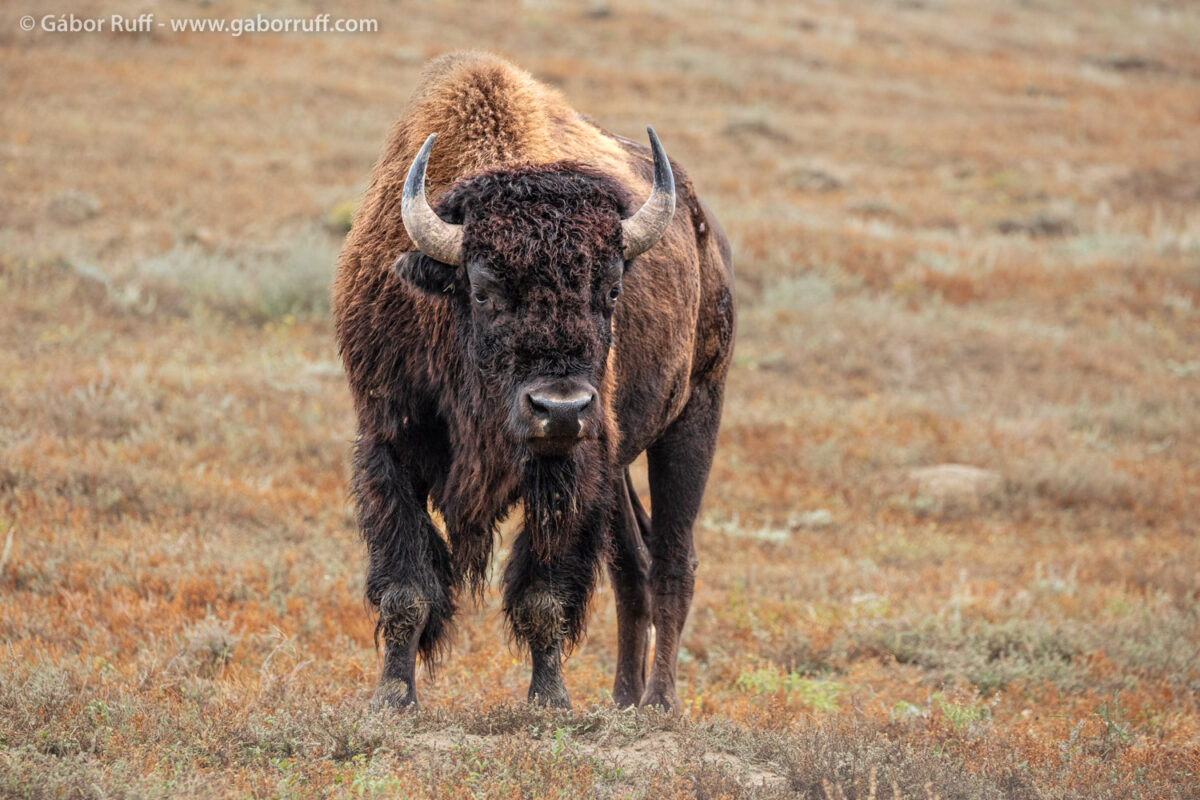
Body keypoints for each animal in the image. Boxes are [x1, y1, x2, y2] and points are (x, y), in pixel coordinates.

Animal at [333, 52, 734, 710]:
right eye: (483, 290)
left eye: (612, 290)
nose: (561, 408)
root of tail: (709, 237)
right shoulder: (388, 444)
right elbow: (405, 586)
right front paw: (393, 697)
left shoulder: (570, 466)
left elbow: (543, 593)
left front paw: (549, 701)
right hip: (619, 457)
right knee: (633, 564)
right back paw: (623, 701)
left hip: (694, 415)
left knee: (674, 561)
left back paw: (660, 706)